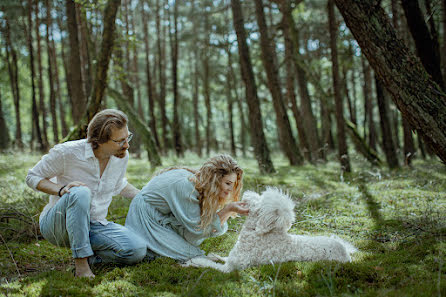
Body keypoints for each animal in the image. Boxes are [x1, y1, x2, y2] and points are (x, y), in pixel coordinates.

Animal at [183, 187, 358, 270]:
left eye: (260, 199)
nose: (248, 192)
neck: (259, 233)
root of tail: (345, 251)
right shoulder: (232, 258)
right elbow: (220, 257)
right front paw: (213, 255)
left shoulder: (231, 268)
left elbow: (209, 265)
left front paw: (193, 261)